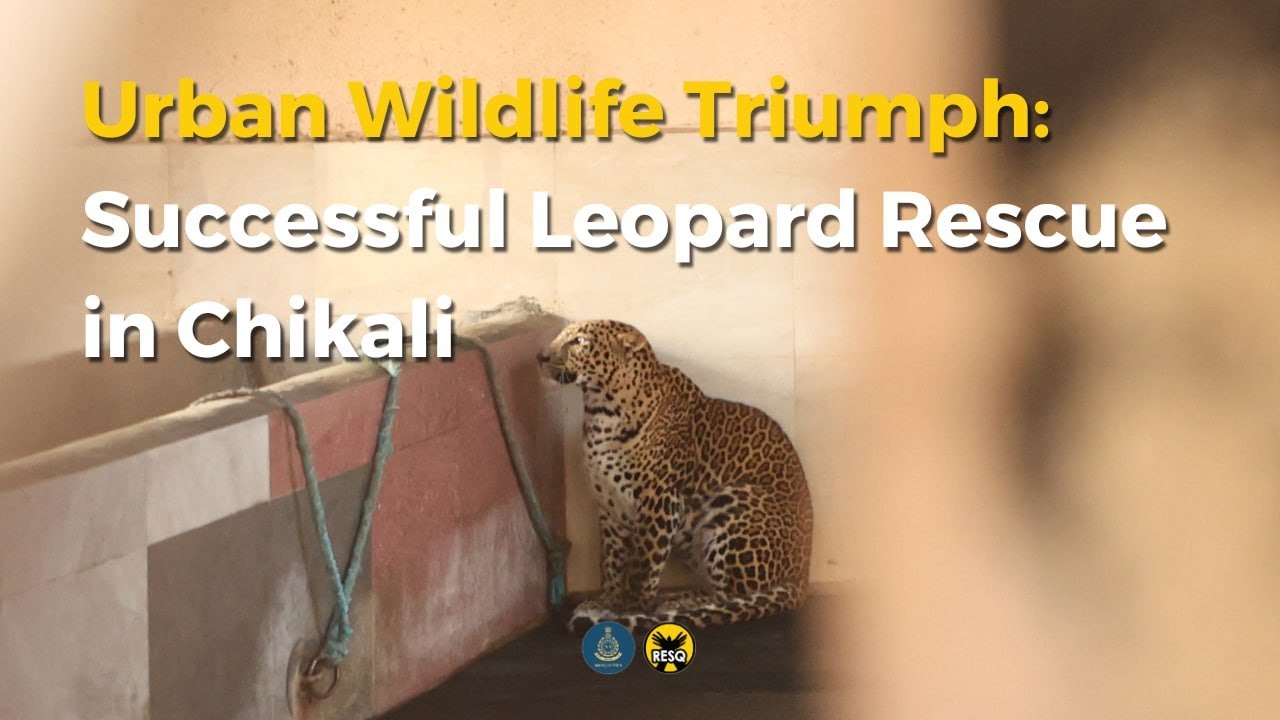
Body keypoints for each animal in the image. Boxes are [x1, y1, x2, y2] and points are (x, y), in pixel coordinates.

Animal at [537, 319, 814, 634]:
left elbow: (644, 565)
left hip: (736, 500)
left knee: (734, 596)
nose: (541, 357)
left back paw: (677, 603)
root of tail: (803, 575)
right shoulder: (609, 505)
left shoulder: (660, 499)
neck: (601, 411)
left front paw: (630, 609)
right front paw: (607, 601)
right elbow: (610, 560)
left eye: (579, 341)